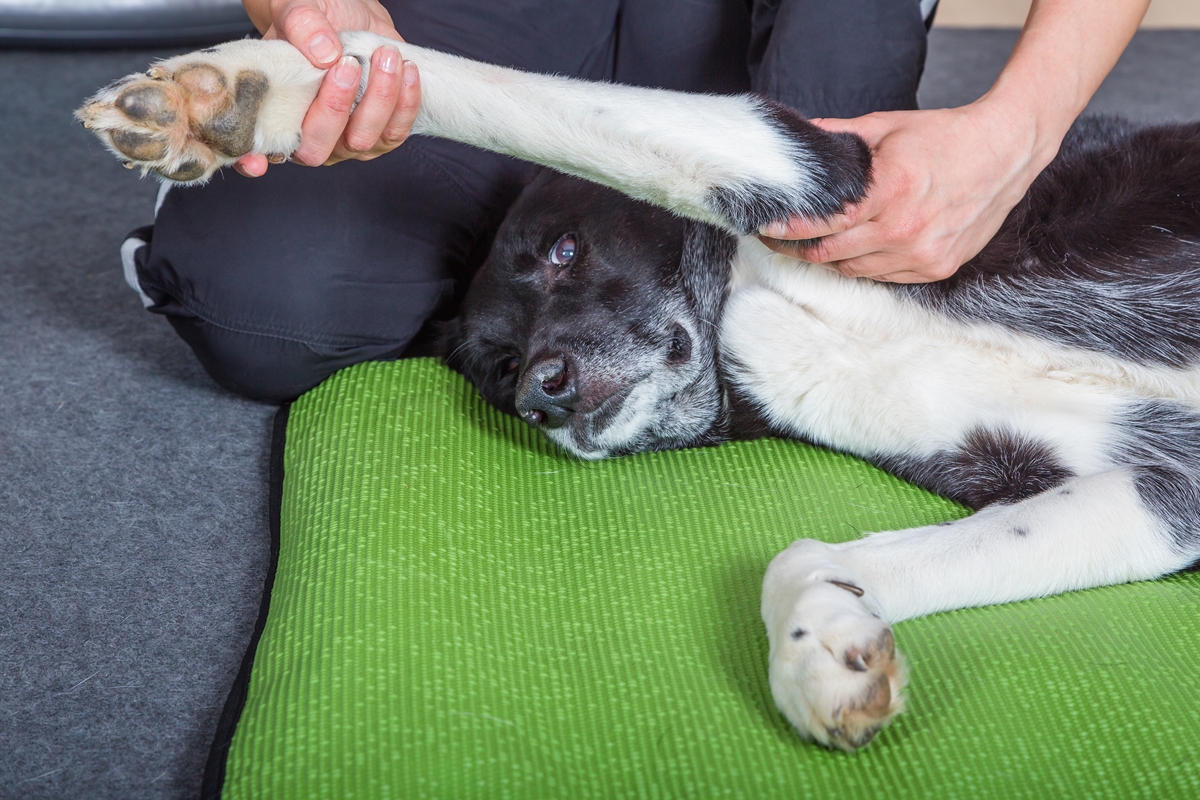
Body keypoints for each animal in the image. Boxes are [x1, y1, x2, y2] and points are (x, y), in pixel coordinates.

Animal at [77, 31, 1200, 753]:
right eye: (497, 370)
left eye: (567, 252)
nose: (545, 396)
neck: (753, 311)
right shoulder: (1160, 498)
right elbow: (805, 554)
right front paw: (821, 653)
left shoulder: (827, 166)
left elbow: (531, 106)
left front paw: (251, 87)